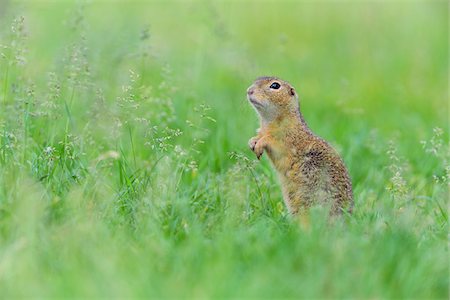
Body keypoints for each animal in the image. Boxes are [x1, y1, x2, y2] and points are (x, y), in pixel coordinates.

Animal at [248, 76, 354, 214]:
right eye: (255, 80)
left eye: (275, 86)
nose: (249, 91)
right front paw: (252, 141)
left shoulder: (288, 139)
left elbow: (273, 141)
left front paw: (260, 143)